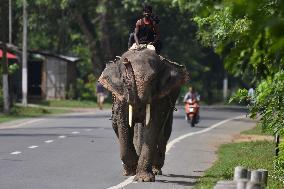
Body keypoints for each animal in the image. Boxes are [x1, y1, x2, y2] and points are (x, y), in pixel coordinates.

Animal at [98, 48, 189, 182]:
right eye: (124, 80)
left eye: (152, 79)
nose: (126, 61)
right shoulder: (121, 97)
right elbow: (123, 124)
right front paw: (132, 170)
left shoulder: (160, 97)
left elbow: (152, 125)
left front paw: (143, 179)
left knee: (164, 132)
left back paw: (156, 169)